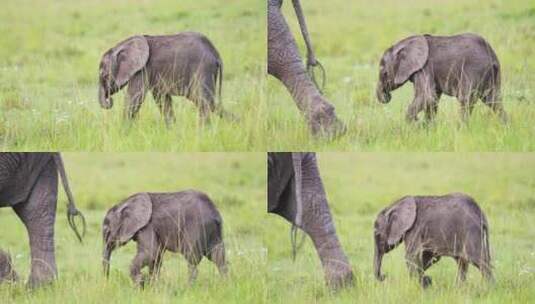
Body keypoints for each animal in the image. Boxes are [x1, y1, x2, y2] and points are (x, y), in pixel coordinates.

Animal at [98, 31, 228, 124]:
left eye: (104, 75)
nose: (110, 100)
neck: (120, 46)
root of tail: (216, 54)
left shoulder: (142, 69)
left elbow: (134, 98)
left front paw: (123, 132)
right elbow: (162, 98)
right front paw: (173, 129)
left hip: (202, 68)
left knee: (204, 101)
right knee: (206, 102)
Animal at [376, 32, 506, 123]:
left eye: (383, 72)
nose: (387, 96)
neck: (405, 44)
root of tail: (492, 56)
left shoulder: (425, 67)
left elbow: (427, 96)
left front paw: (415, 125)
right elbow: (433, 100)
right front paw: (427, 127)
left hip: (473, 69)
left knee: (466, 100)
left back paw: (461, 129)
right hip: (493, 75)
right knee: (494, 100)